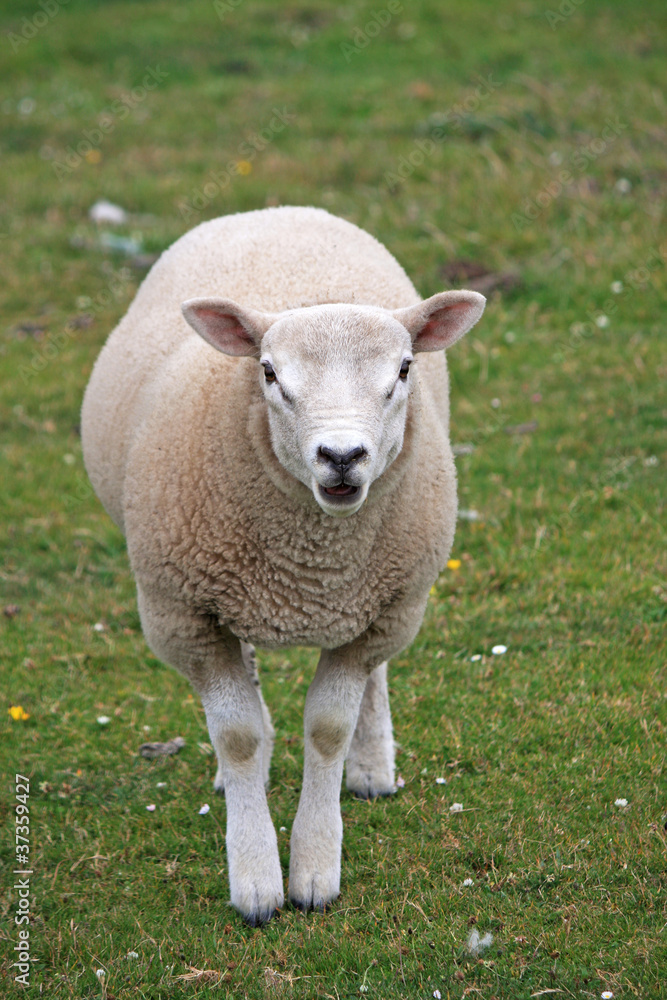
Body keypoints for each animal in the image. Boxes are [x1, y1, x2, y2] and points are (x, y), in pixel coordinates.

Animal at [81, 205, 486, 926]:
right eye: (269, 373)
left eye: (403, 369)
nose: (342, 456)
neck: (311, 567)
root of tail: (275, 209)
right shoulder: (183, 614)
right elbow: (239, 735)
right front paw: (256, 881)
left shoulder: (382, 608)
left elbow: (328, 728)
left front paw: (315, 868)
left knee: (372, 678)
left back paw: (372, 766)